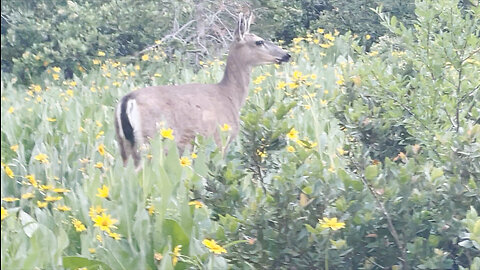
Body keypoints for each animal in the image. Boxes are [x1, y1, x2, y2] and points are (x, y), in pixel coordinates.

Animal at [114, 14, 290, 169]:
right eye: (259, 41)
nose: (286, 55)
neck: (230, 96)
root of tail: (127, 100)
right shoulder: (220, 138)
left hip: (124, 143)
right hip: (153, 140)